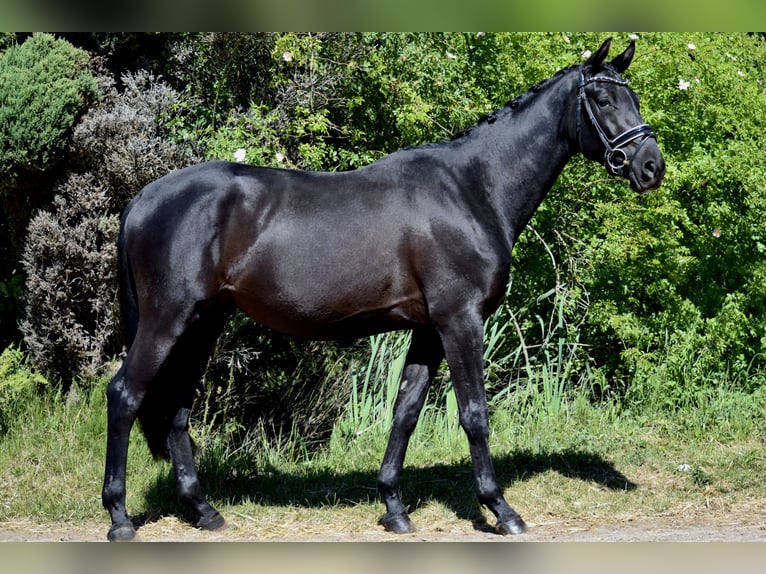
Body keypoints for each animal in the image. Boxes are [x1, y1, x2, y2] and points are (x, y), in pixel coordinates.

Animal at [102, 38, 665, 541]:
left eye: (633, 96)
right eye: (604, 100)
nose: (650, 166)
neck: (472, 189)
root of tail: (144, 198)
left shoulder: (428, 330)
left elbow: (405, 413)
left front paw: (394, 508)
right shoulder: (460, 321)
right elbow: (474, 414)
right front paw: (501, 511)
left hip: (203, 322)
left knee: (175, 408)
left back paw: (204, 511)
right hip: (167, 319)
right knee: (125, 395)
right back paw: (120, 518)